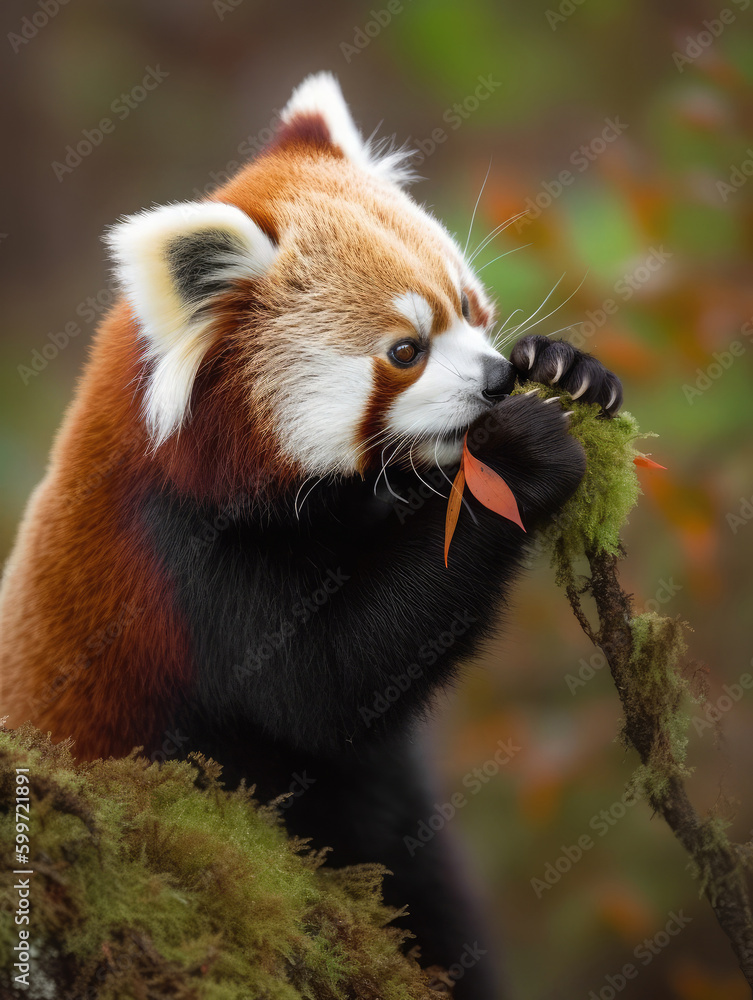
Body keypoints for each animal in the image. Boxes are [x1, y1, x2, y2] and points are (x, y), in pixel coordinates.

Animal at [0, 73, 622, 998]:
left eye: (469, 309)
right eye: (404, 350)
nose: (495, 379)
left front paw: (567, 368)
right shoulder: (183, 562)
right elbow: (325, 688)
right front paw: (521, 452)